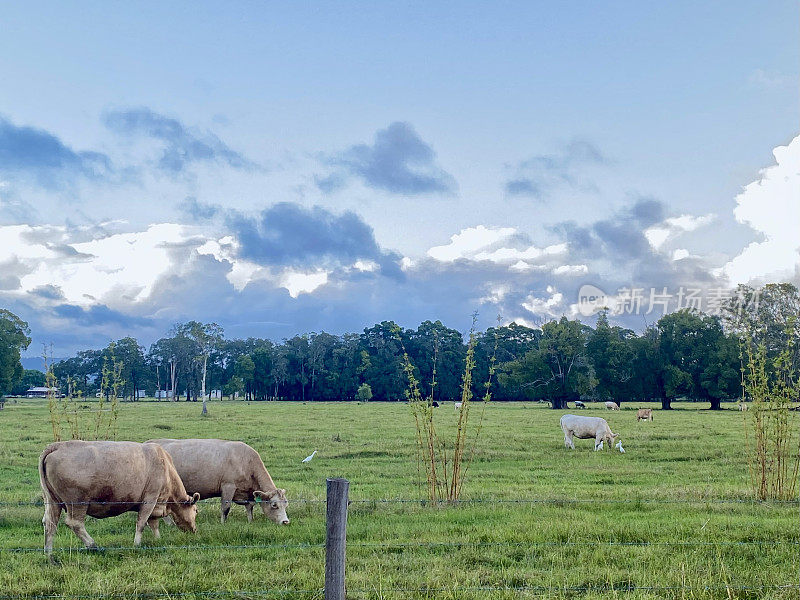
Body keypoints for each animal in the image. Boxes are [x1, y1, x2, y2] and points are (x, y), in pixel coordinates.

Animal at [37, 438, 200, 556]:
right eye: (196, 511)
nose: (194, 530)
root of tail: (58, 446)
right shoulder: (150, 499)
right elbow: (142, 523)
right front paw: (136, 544)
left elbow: (153, 523)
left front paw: (157, 539)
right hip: (77, 502)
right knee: (75, 523)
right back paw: (93, 545)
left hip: (52, 501)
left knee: (49, 523)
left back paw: (49, 554)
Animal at [148, 438, 290, 528]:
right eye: (274, 505)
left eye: (286, 504)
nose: (285, 522)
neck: (246, 461)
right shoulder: (228, 486)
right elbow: (225, 508)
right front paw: (223, 524)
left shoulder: (247, 493)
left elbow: (250, 507)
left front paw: (251, 522)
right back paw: (169, 523)